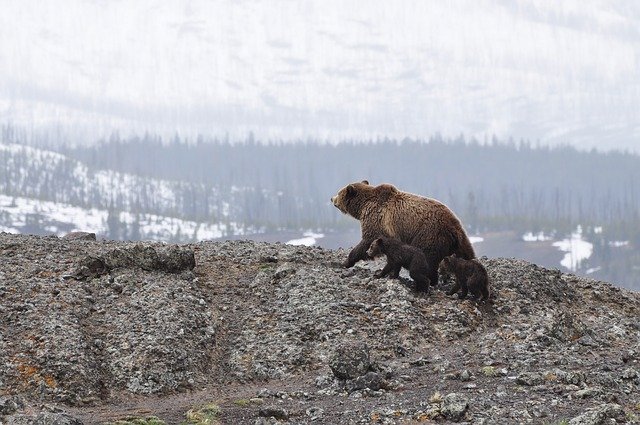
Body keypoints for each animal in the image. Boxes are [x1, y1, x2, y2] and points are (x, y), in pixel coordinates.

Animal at [331, 180, 475, 290]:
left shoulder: (376, 219)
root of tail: (455, 227)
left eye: (339, 192)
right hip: (457, 242)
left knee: (427, 260)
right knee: (466, 254)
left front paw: (345, 262)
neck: (363, 206)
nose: (332, 198)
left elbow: (366, 241)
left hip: (429, 235)